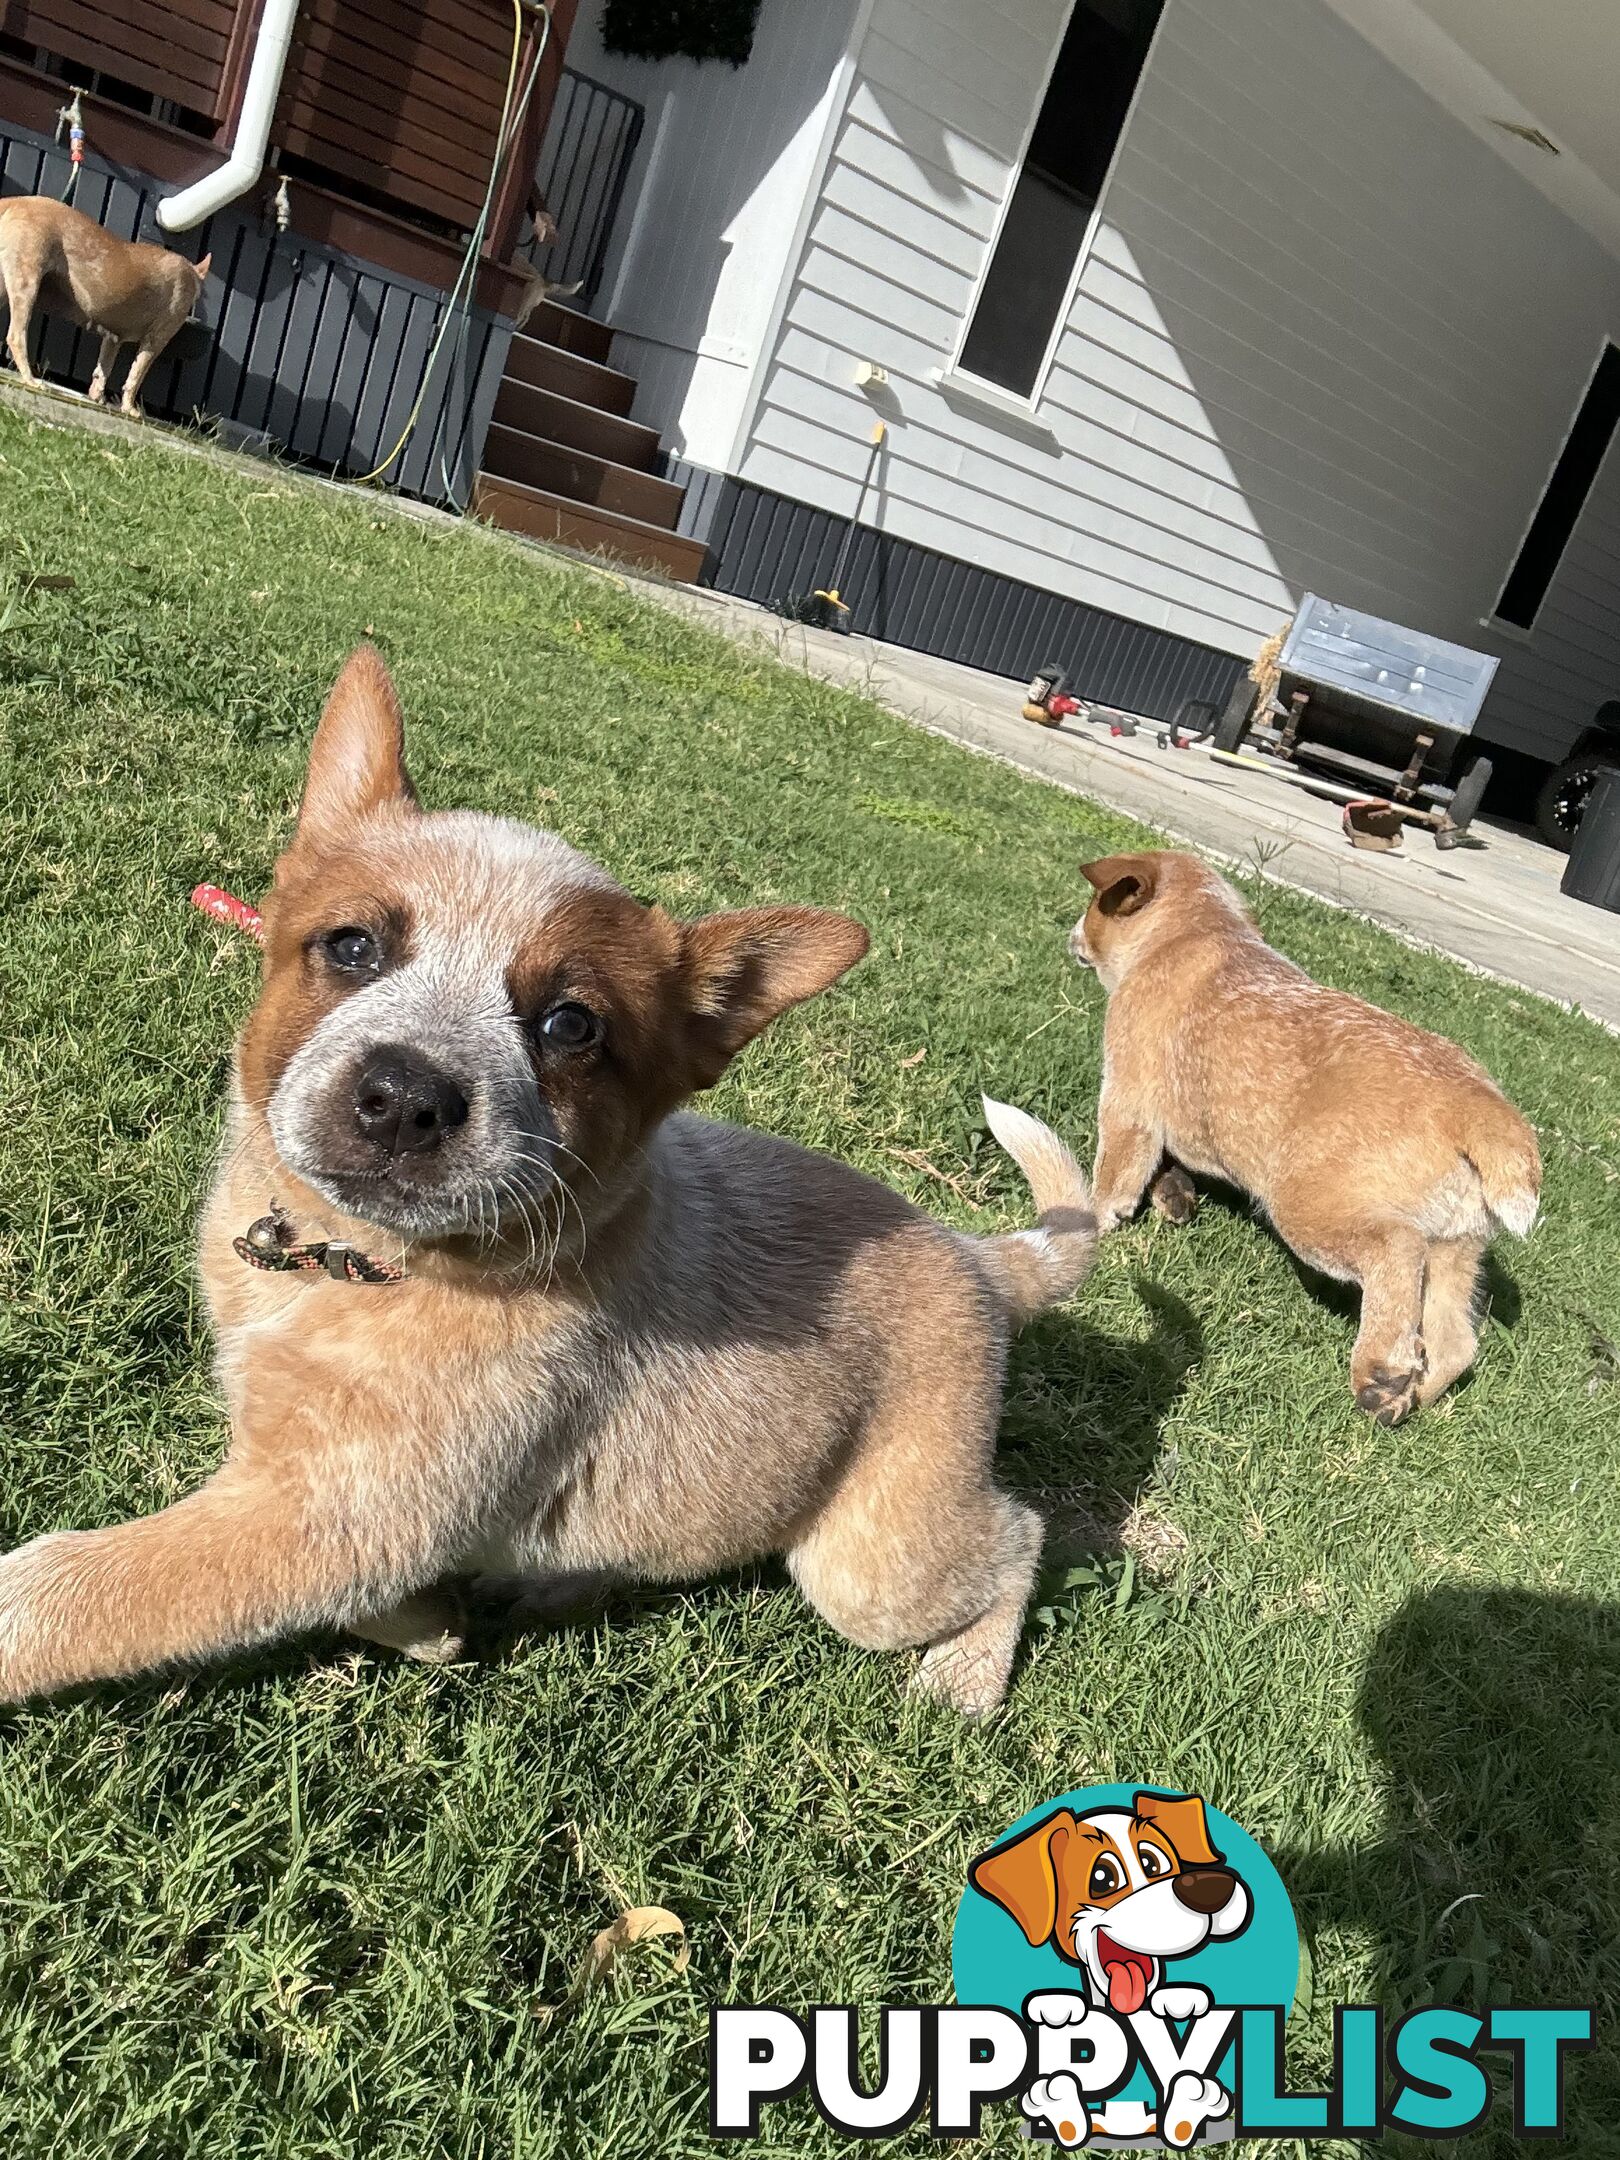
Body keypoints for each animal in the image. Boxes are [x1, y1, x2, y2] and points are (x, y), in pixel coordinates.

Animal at [0, 195, 210, 416]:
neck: (193, 274)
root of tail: (16, 201)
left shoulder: (114, 338)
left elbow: (103, 370)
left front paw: (97, 397)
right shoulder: (155, 340)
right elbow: (135, 376)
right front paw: (130, 408)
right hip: (27, 282)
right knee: (16, 336)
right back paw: (31, 379)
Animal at [0, 639, 1105, 1702]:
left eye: (570, 1025)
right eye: (352, 946)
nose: (405, 1097)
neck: (350, 1262)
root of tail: (972, 1254)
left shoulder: (328, 1516)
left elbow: (71, 1588)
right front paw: (431, 1622)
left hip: (873, 1564)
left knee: (1018, 1533)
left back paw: (964, 1681)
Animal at [1071, 851, 1537, 1425]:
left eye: (1093, 904)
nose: (1072, 934)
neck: (1196, 930)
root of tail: (1477, 1103)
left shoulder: (1127, 1102)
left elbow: (1115, 1175)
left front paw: (1089, 1223)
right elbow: (1165, 1165)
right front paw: (1173, 1192)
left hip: (1308, 1209)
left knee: (1396, 1250)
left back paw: (1380, 1369)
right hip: (1457, 1248)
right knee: (1454, 1343)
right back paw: (1407, 1398)